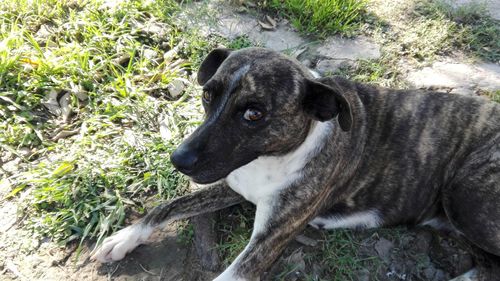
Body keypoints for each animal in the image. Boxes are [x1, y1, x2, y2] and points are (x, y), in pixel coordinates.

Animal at [91, 47, 500, 278]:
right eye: (208, 95)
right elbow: (169, 205)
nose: (178, 160)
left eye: (254, 113)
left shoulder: (268, 241)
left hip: (464, 194)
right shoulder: (233, 183)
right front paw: (125, 237)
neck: (277, 156)